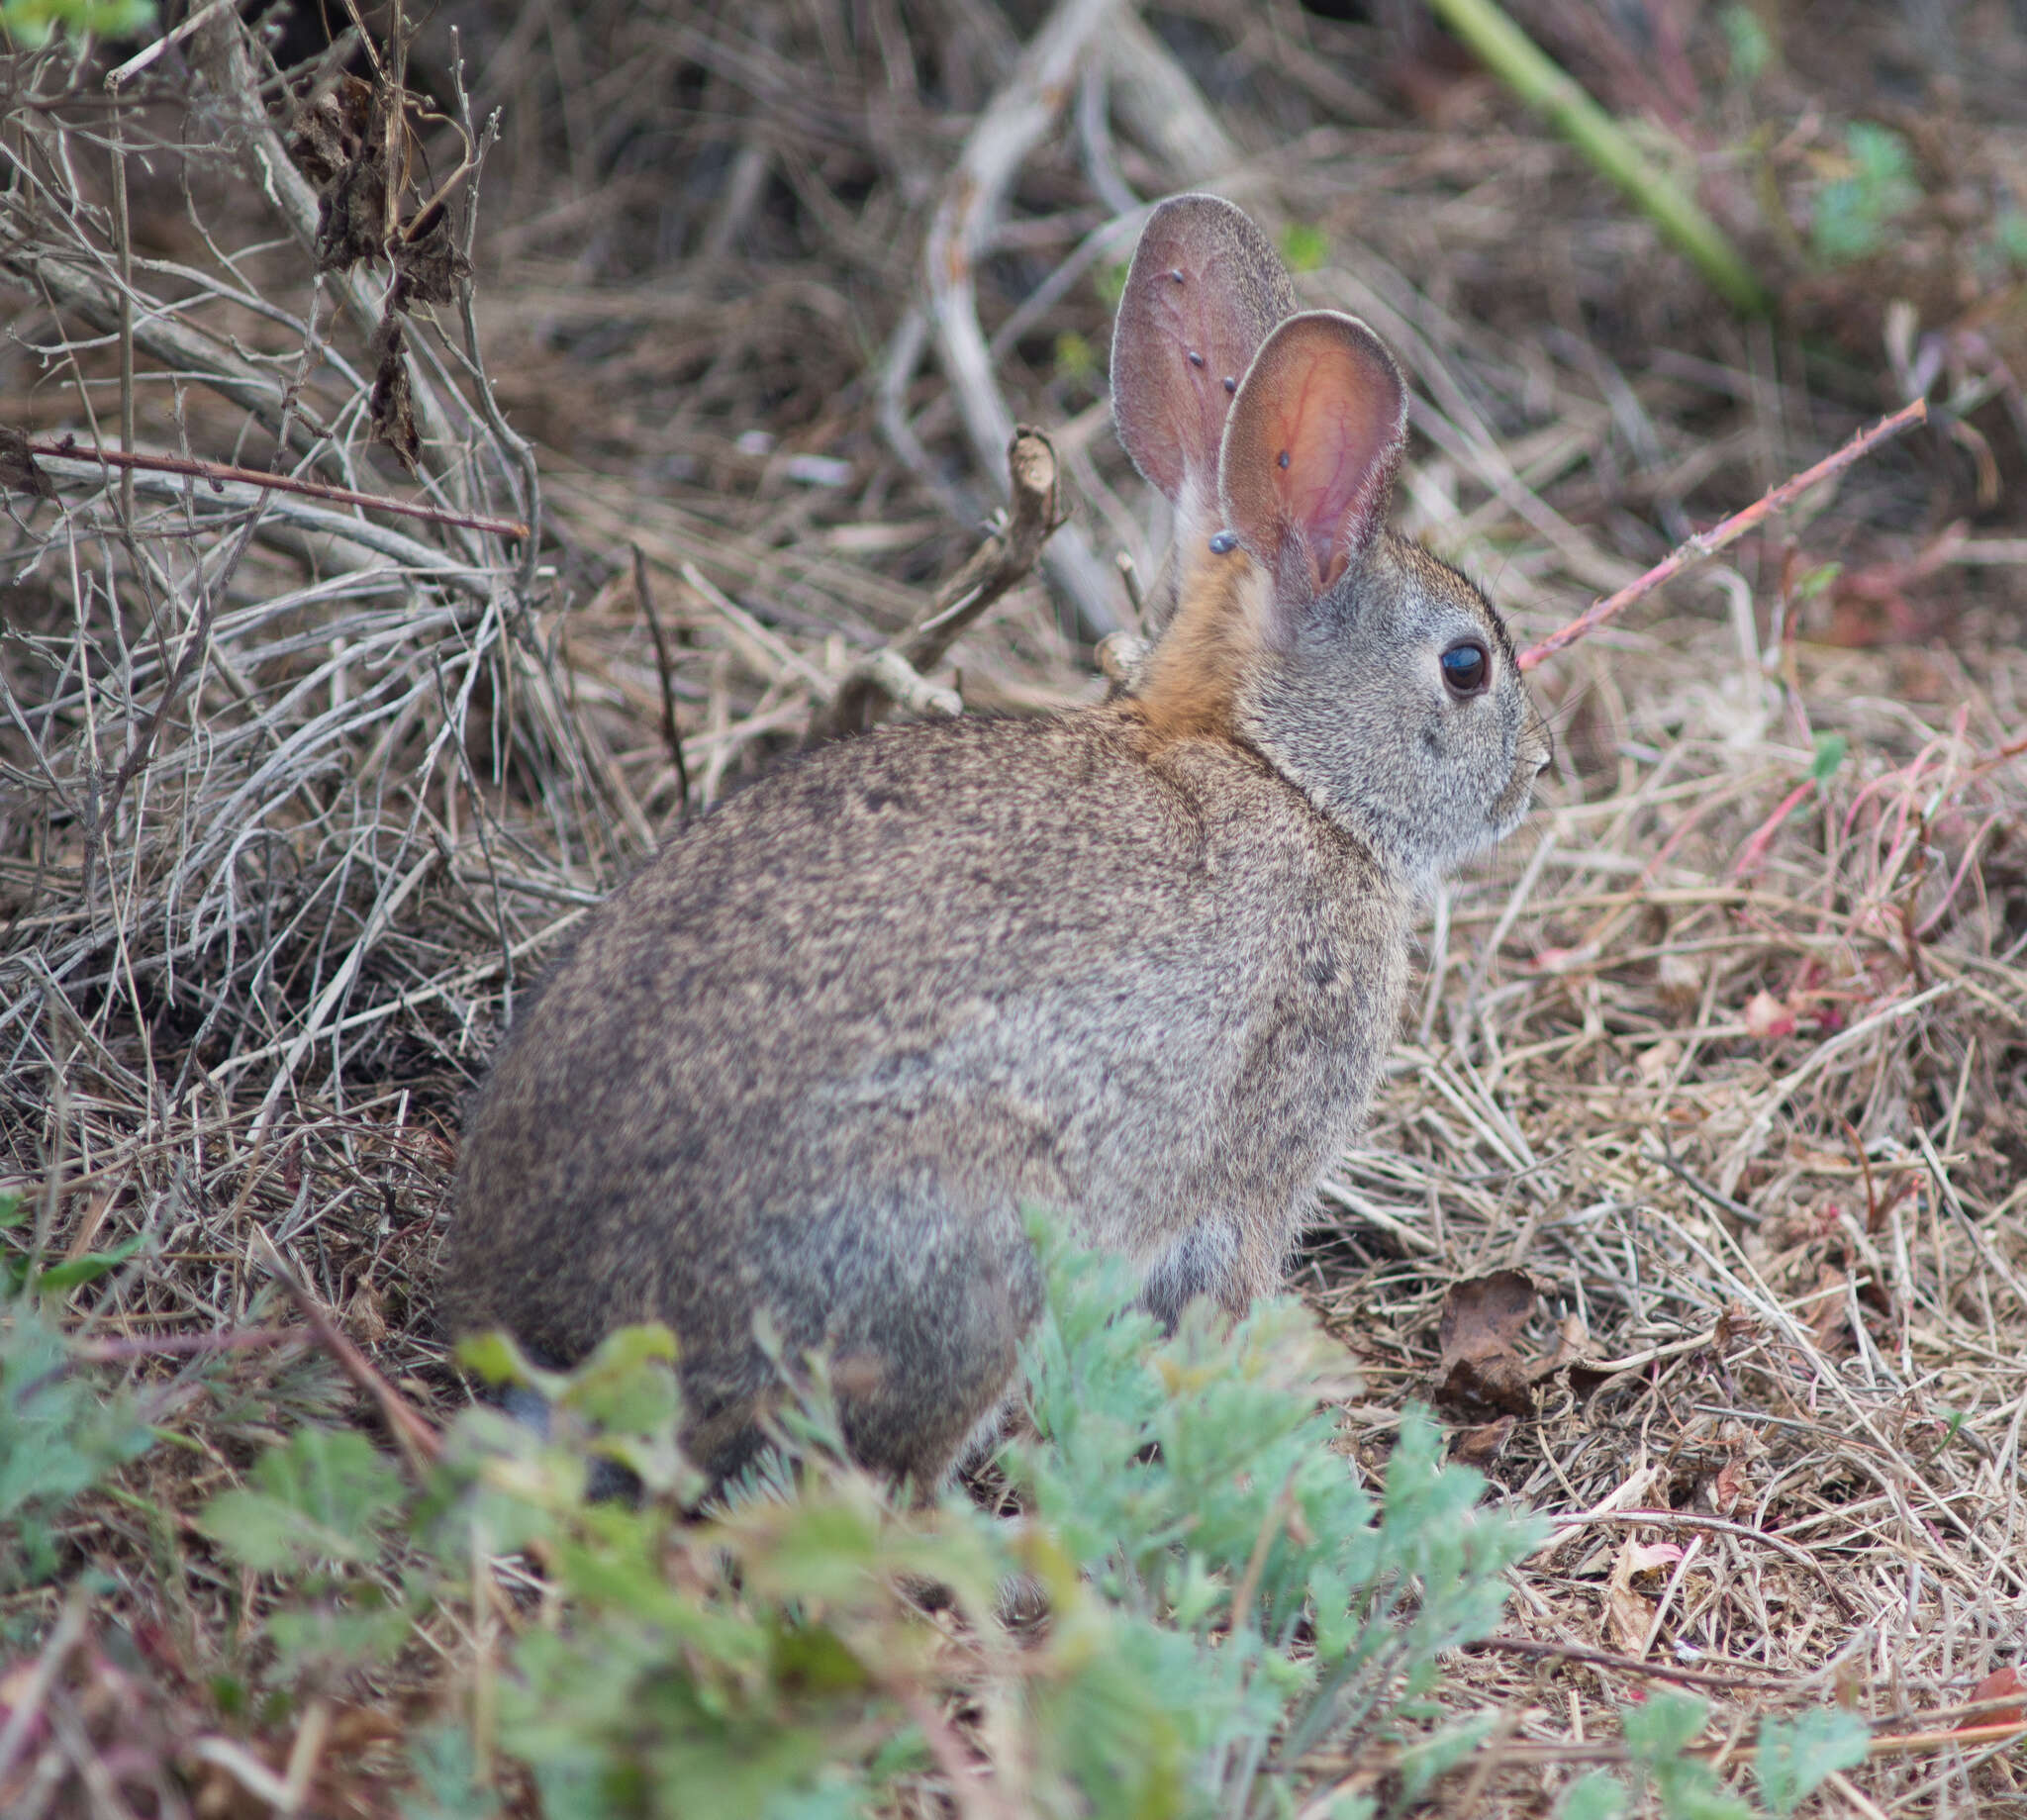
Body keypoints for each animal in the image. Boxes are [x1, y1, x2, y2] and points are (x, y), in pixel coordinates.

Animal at [443, 188, 1548, 1491]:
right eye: (1465, 667)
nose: (1534, 772)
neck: (1278, 769)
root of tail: (582, 1353)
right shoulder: (1252, 1172)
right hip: (982, 1255)